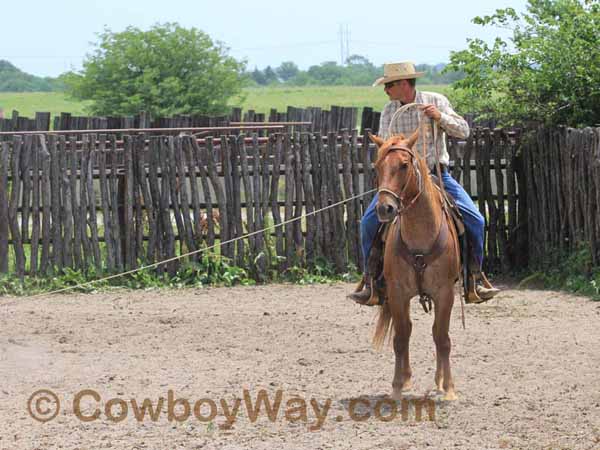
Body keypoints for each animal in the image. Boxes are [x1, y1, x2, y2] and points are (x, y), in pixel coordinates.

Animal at [370, 131, 460, 400]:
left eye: (404, 165)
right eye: (377, 166)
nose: (385, 208)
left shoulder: (445, 293)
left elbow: (442, 338)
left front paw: (449, 389)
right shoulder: (397, 293)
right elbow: (401, 338)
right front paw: (397, 387)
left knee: (436, 333)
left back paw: (439, 381)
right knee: (407, 330)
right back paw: (408, 380)